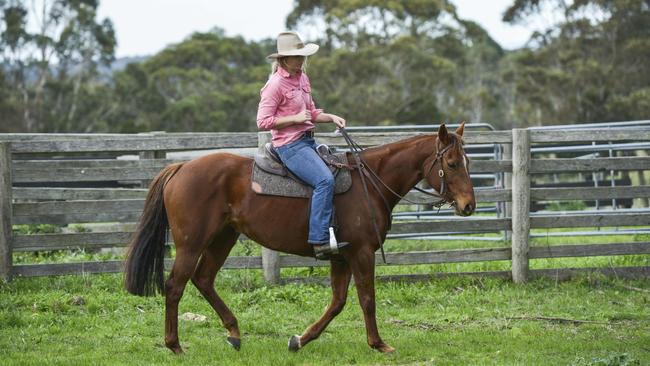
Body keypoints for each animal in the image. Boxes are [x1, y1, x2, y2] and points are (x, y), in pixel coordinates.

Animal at [124, 123, 474, 354]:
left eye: (467, 162)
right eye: (452, 163)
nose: (469, 206)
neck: (370, 183)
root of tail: (181, 167)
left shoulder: (340, 256)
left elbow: (337, 302)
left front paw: (300, 340)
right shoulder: (362, 253)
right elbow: (367, 298)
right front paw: (378, 344)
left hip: (223, 237)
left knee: (204, 279)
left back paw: (234, 333)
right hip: (192, 242)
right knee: (175, 285)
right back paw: (175, 346)